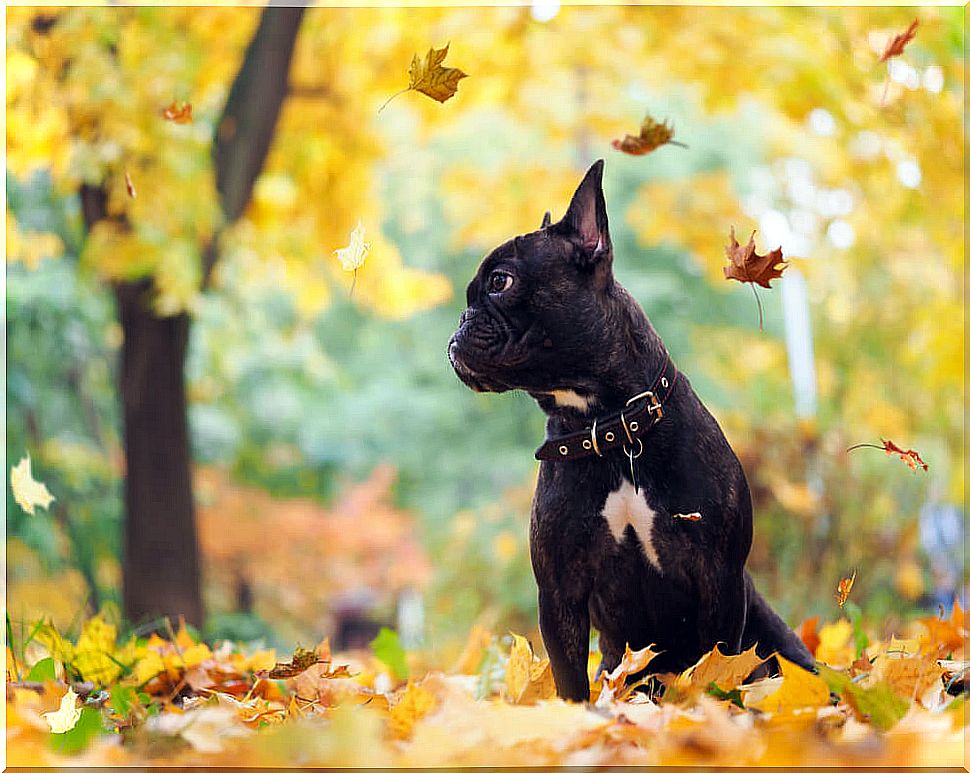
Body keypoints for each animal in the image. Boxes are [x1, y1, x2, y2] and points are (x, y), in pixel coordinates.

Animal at [450, 157, 812, 700]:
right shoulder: (560, 592)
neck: (613, 427)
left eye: (499, 282)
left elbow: (717, 667)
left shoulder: (721, 579)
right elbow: (570, 678)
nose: (460, 320)